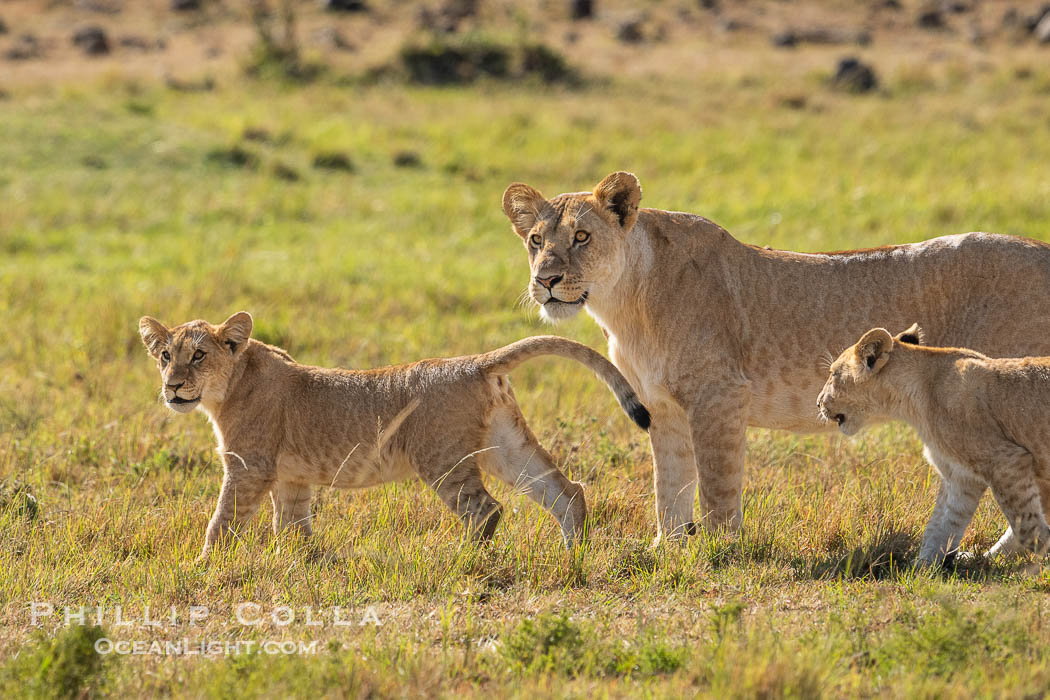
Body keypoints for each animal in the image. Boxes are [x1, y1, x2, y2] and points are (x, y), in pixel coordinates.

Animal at [138, 311, 649, 558]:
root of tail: (475, 362)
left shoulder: (250, 468)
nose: (172, 387)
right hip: (505, 447)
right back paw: (572, 556)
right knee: (565, 490)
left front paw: (205, 566)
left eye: (198, 355)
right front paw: (299, 566)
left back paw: (464, 563)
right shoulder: (291, 477)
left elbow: (222, 521)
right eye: (165, 355)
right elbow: (293, 527)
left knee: (485, 510)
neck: (228, 387)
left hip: (442, 458)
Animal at [818, 324, 1050, 565]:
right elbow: (941, 527)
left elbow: (1027, 527)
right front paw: (921, 568)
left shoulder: (1005, 460)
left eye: (833, 374)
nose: (818, 403)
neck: (912, 400)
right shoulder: (961, 477)